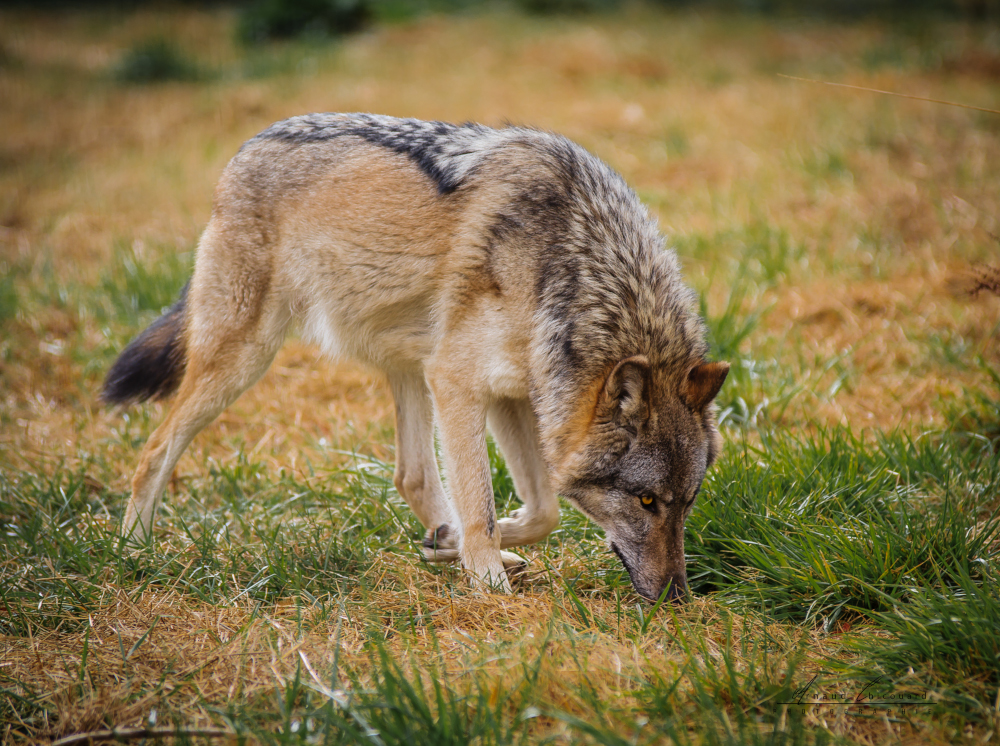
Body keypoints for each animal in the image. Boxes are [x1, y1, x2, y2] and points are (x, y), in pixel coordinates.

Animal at [101, 112, 728, 600]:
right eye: (645, 500)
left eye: (688, 501)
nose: (676, 597)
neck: (569, 264)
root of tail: (246, 148)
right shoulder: (459, 381)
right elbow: (481, 505)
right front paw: (487, 581)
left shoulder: (513, 393)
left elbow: (541, 510)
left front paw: (468, 549)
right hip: (245, 360)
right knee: (152, 450)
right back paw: (133, 551)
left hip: (410, 367)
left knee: (411, 475)